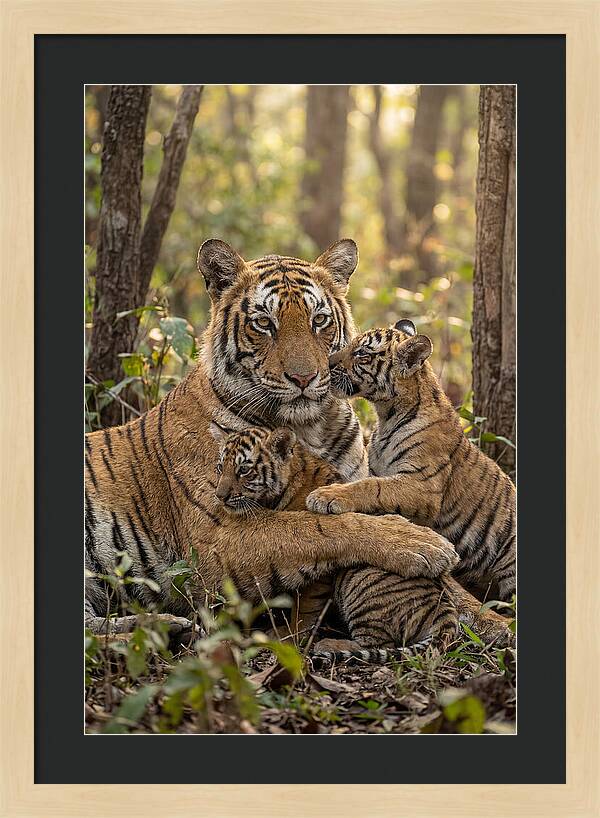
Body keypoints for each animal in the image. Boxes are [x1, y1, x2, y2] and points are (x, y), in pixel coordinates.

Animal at [85, 240, 459, 635]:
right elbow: (316, 526)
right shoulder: (218, 536)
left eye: (319, 320)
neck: (309, 428)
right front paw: (422, 543)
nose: (304, 377)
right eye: (264, 323)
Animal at [306, 319, 516, 604]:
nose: (326, 363)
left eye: (362, 354)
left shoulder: (423, 484)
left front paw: (326, 496)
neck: (386, 415)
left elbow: (373, 487)